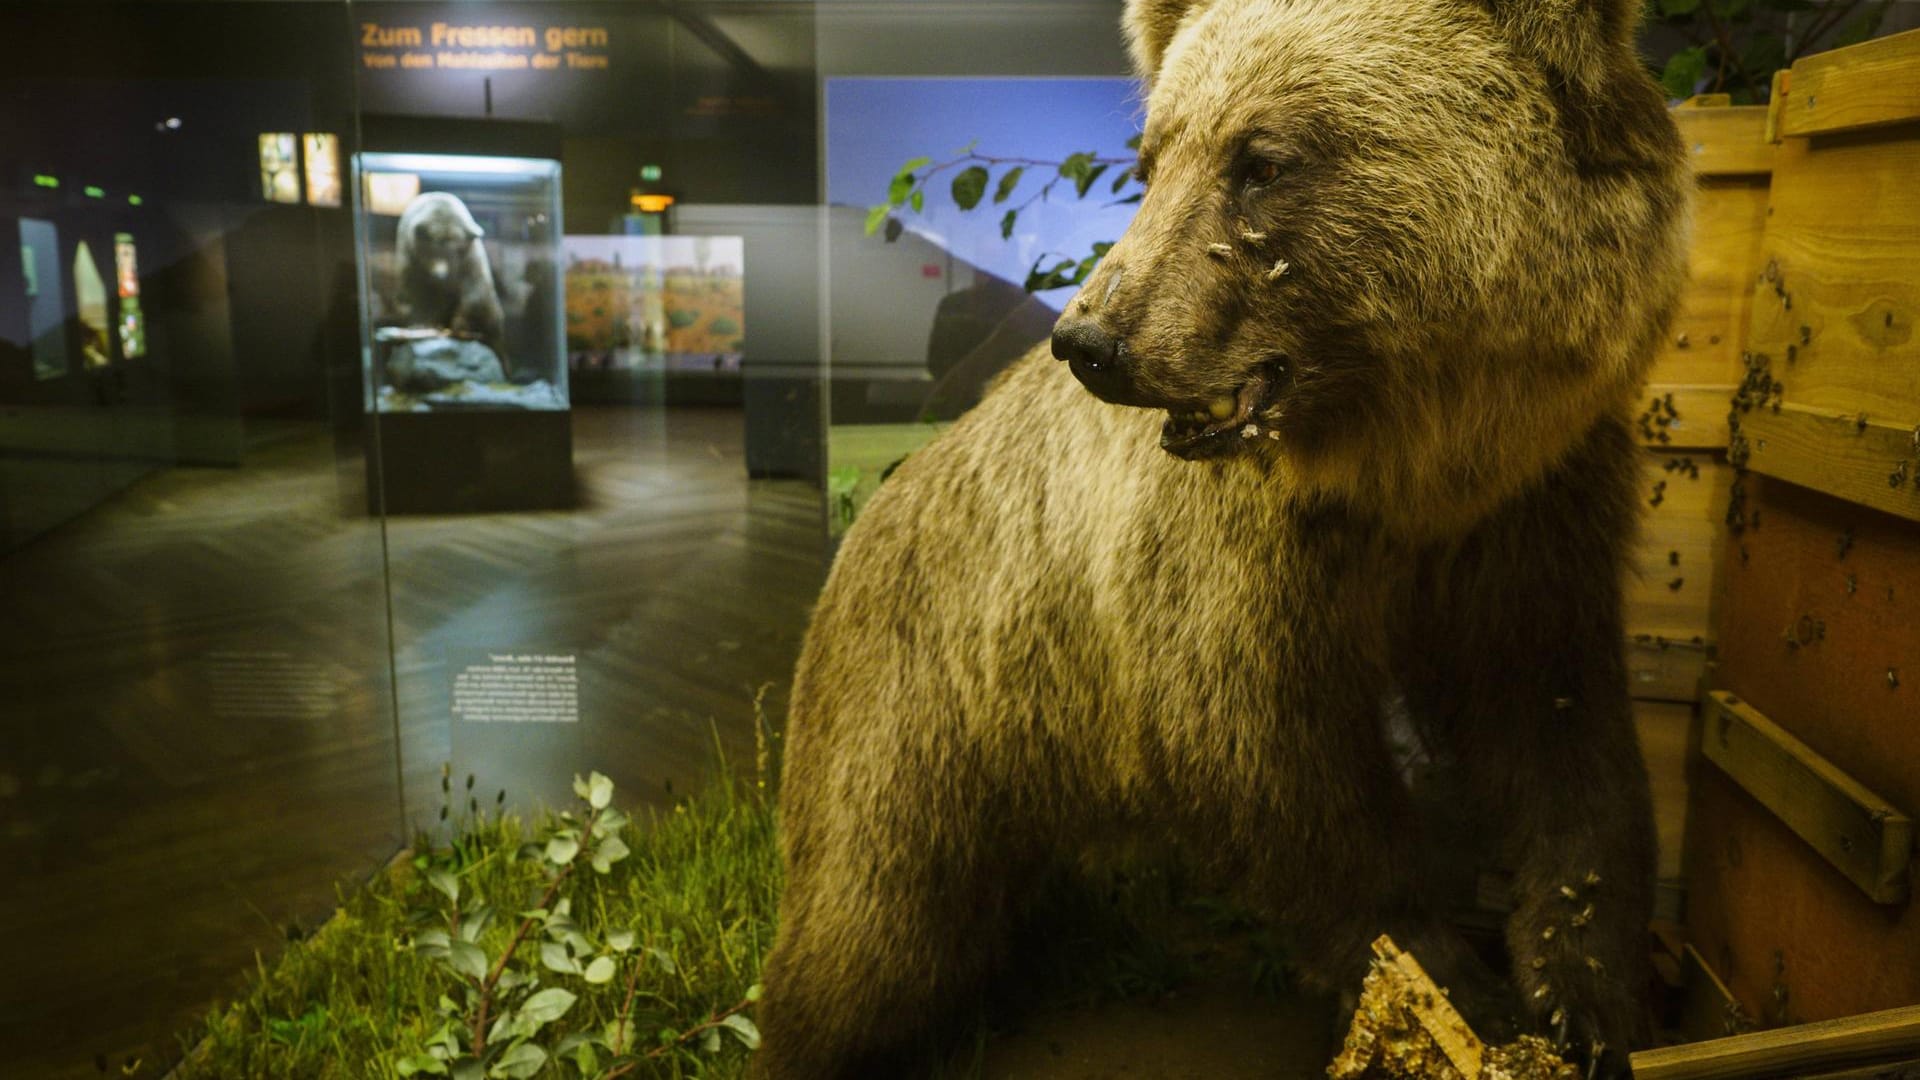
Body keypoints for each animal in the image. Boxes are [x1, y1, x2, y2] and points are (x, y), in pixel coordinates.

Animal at [395, 191, 506, 359]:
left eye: (454, 251)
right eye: (431, 251)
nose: (440, 275)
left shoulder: (469, 257)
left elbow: (475, 288)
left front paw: (461, 324)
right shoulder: (410, 256)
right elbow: (415, 291)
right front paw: (421, 323)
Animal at [756, 0, 1689, 1068]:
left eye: (1263, 159)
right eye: (1153, 156)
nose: (1091, 340)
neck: (1410, 465)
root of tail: (868, 521)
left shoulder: (1537, 504)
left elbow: (1559, 722)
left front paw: (1586, 991)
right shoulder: (1230, 563)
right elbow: (1260, 756)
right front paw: (1450, 982)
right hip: (913, 709)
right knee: (869, 931)